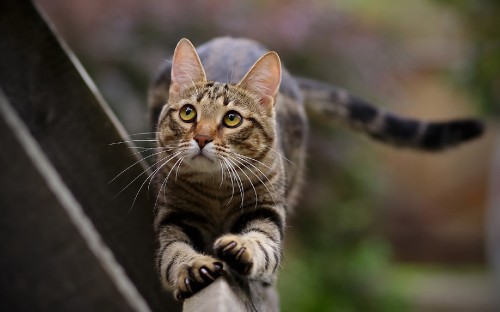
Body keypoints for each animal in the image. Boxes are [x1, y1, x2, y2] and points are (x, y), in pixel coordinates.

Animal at [146, 37, 482, 302]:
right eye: (188, 113)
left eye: (232, 119)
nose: (202, 138)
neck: (216, 188)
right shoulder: (173, 214)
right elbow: (173, 251)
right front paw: (192, 267)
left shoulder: (267, 209)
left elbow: (265, 242)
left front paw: (244, 248)